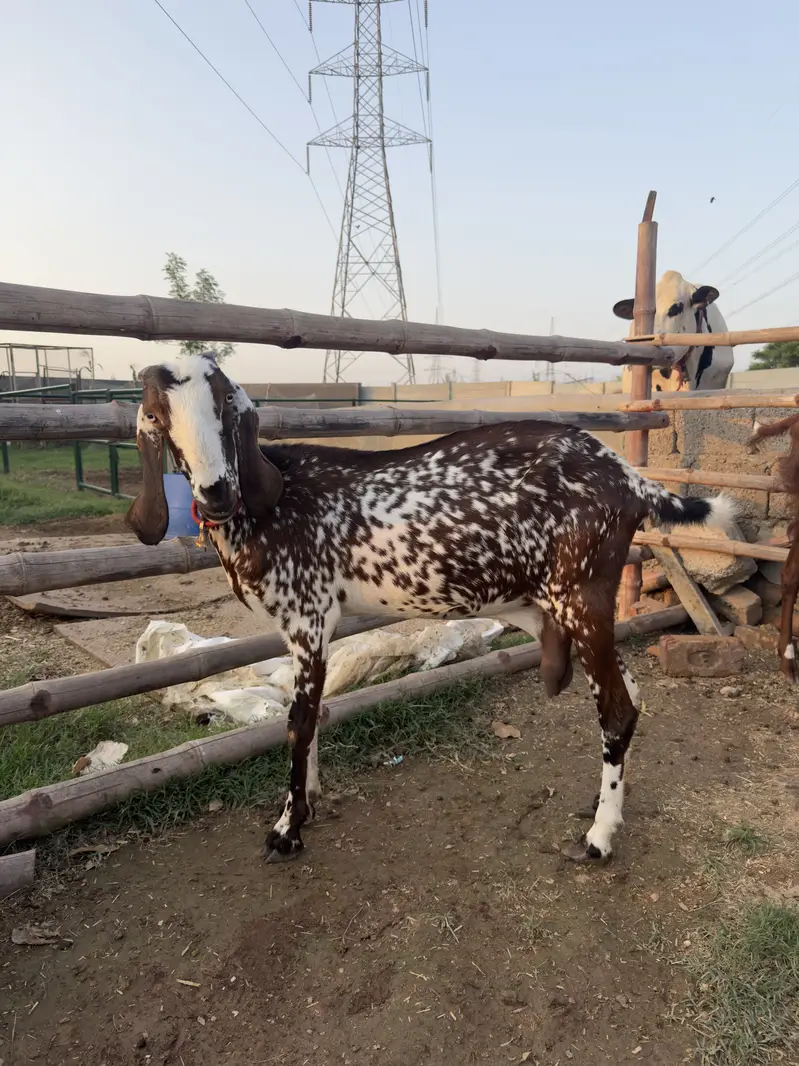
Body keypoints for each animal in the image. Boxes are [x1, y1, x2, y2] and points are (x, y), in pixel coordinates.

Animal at [125, 353, 736, 864]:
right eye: (156, 414)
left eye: (226, 403)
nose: (215, 493)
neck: (273, 501)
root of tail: (631, 480)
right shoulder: (305, 627)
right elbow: (314, 713)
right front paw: (309, 802)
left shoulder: (308, 615)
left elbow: (297, 723)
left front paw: (286, 829)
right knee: (631, 693)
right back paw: (600, 804)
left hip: (579, 595)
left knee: (617, 709)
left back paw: (599, 837)